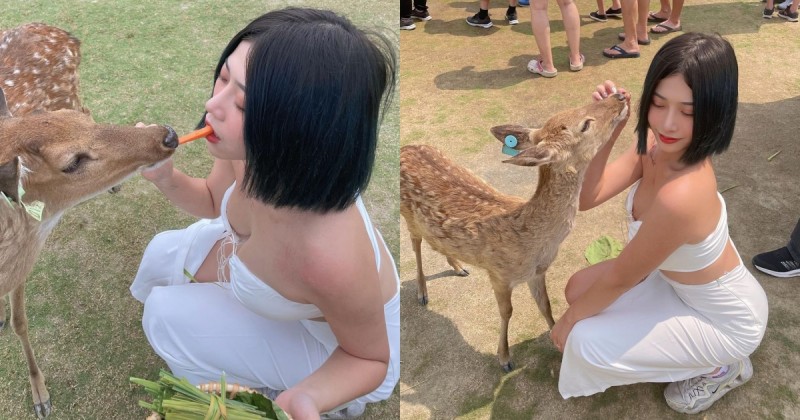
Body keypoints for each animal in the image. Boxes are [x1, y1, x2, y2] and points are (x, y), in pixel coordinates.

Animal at [1, 23, 178, 418]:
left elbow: (20, 322)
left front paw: (41, 396)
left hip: (69, 95)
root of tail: (64, 33)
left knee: (88, 105)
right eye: (72, 161)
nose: (168, 134)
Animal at [400, 93, 628, 372]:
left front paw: (558, 340)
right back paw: (422, 293)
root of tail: (404, 148)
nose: (619, 96)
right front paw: (505, 358)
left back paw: (459, 267)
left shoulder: (538, 272)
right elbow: (507, 312)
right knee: (415, 244)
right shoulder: (498, 273)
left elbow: (545, 305)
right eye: (585, 124)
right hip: (407, 214)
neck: (532, 239)